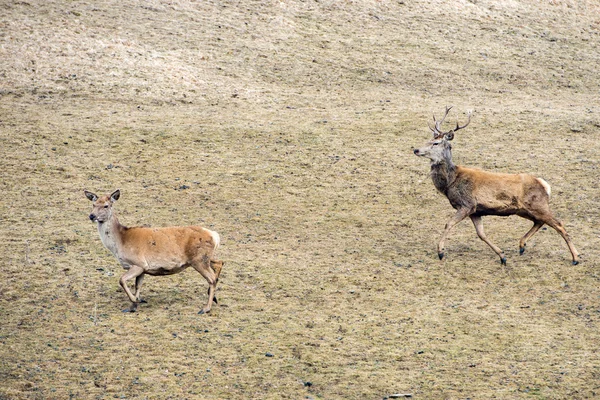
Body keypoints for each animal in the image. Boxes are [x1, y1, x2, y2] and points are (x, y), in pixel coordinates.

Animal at [85, 189, 224, 314]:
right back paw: (214, 298)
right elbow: (137, 285)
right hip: (204, 257)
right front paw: (133, 306)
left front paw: (136, 301)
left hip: (199, 259)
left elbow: (122, 280)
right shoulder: (143, 268)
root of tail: (214, 235)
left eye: (106, 205)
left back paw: (206, 308)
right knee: (219, 263)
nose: (92, 216)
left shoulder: (138, 263)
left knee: (211, 278)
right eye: (93, 204)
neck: (120, 242)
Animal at [414, 106, 580, 266]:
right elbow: (481, 234)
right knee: (539, 221)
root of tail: (544, 185)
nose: (416, 149)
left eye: (436, 143)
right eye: (429, 139)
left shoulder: (466, 204)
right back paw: (522, 245)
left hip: (538, 204)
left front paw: (440, 252)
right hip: (523, 209)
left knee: (559, 224)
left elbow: (448, 224)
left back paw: (575, 257)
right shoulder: (476, 211)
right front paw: (502, 256)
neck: (451, 182)